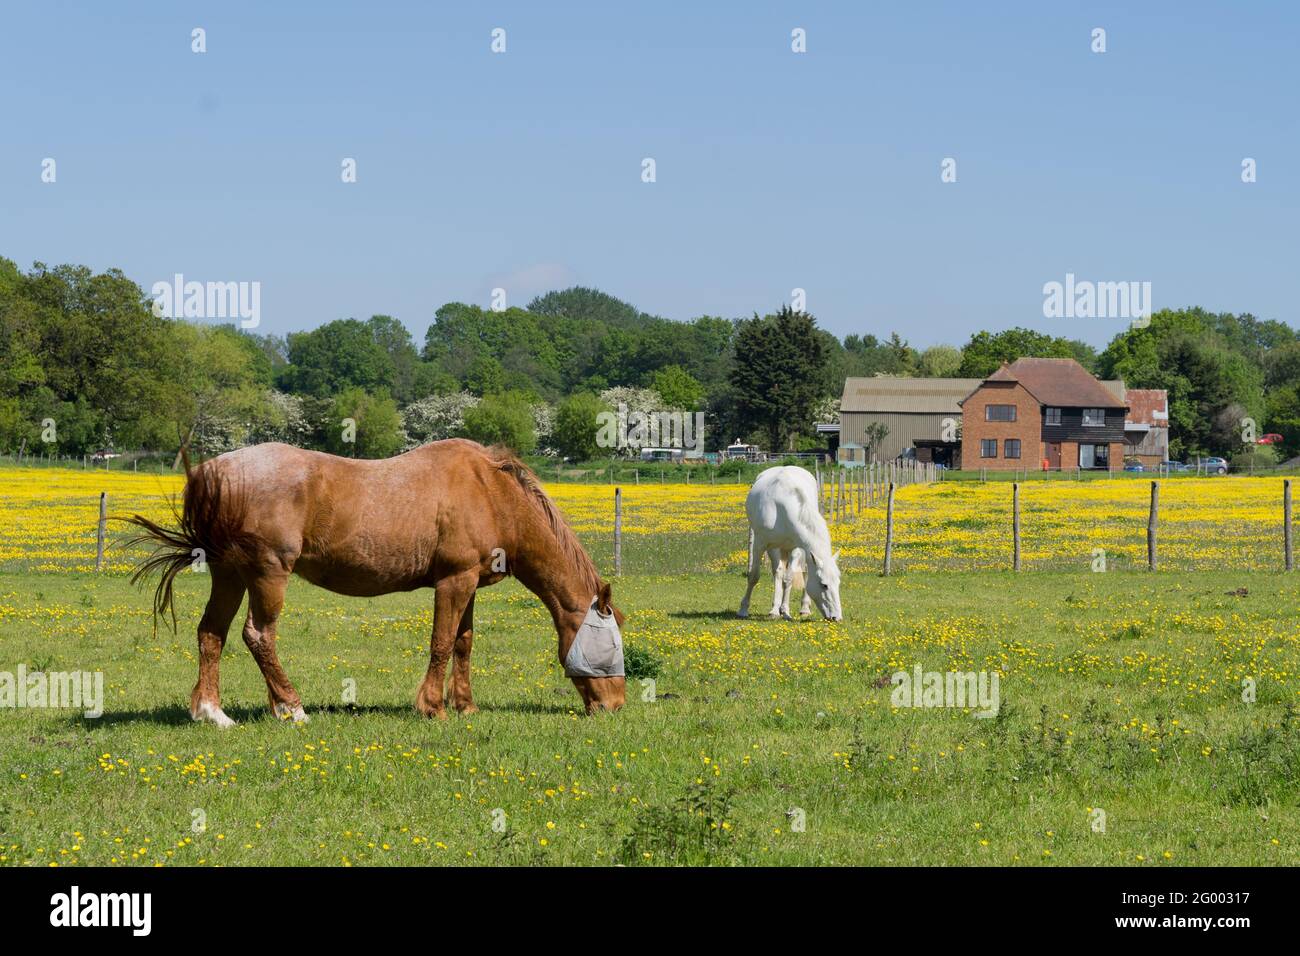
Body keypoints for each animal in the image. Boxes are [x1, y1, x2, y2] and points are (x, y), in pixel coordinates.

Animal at [125, 439, 626, 725]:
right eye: (613, 647)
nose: (616, 706)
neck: (490, 491)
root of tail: (214, 472)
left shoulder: (468, 585)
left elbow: (463, 644)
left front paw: (465, 706)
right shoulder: (453, 581)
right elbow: (441, 643)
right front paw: (434, 708)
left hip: (229, 573)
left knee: (212, 633)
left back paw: (212, 713)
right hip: (268, 573)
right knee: (258, 635)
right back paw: (291, 707)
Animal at [738, 465, 843, 621]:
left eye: (838, 583)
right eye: (824, 585)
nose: (837, 617)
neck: (781, 508)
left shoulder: (795, 547)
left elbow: (788, 579)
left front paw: (785, 611)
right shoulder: (761, 544)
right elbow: (754, 576)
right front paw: (744, 609)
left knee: (803, 572)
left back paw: (804, 608)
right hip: (776, 547)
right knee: (777, 572)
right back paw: (774, 610)